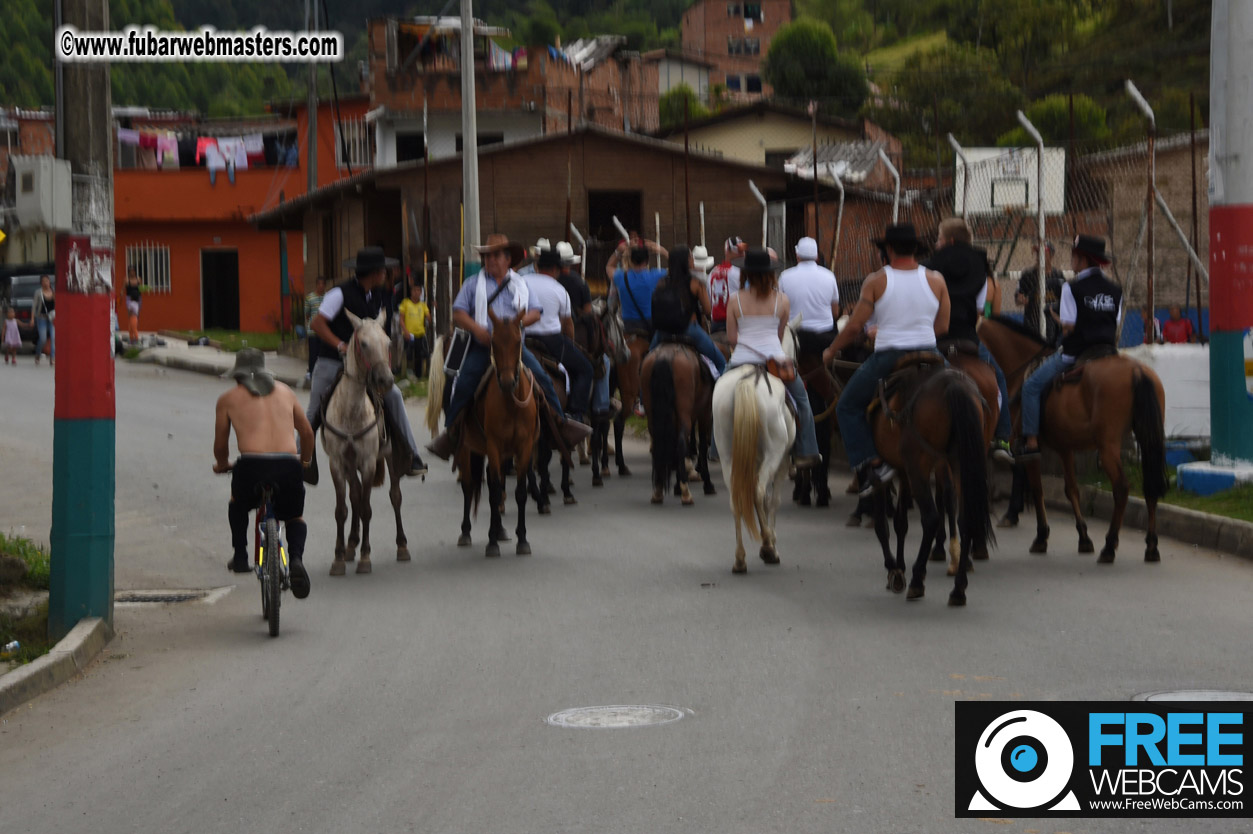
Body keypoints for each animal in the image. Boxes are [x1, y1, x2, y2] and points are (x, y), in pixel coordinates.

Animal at [323, 308, 405, 576]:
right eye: (364, 344)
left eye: (388, 342)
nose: (386, 380)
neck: (351, 411)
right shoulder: (338, 464)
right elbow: (342, 509)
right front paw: (339, 557)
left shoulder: (369, 462)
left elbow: (367, 508)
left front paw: (365, 557)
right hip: (351, 466)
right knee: (355, 497)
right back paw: (350, 545)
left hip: (390, 458)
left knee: (395, 496)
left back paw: (402, 546)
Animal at [646, 340, 716, 505]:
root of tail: (665, 356)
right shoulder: (705, 412)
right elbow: (702, 445)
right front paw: (707, 483)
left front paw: (677, 486)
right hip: (685, 413)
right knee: (682, 443)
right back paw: (686, 492)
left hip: (653, 414)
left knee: (661, 444)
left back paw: (658, 490)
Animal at [711, 318, 796, 571]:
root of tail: (747, 381)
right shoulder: (783, 461)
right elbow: (772, 501)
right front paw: (770, 543)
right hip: (775, 452)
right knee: (759, 491)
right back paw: (768, 545)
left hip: (727, 452)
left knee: (737, 498)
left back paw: (740, 558)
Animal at [972, 315, 1167, 561]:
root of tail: (1137, 372)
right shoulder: (1064, 447)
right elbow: (1071, 489)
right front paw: (1083, 537)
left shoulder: (1026, 445)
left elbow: (1037, 488)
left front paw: (1040, 535)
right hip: (1150, 439)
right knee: (1150, 486)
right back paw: (1151, 546)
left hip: (1108, 445)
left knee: (1122, 488)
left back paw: (1110, 545)